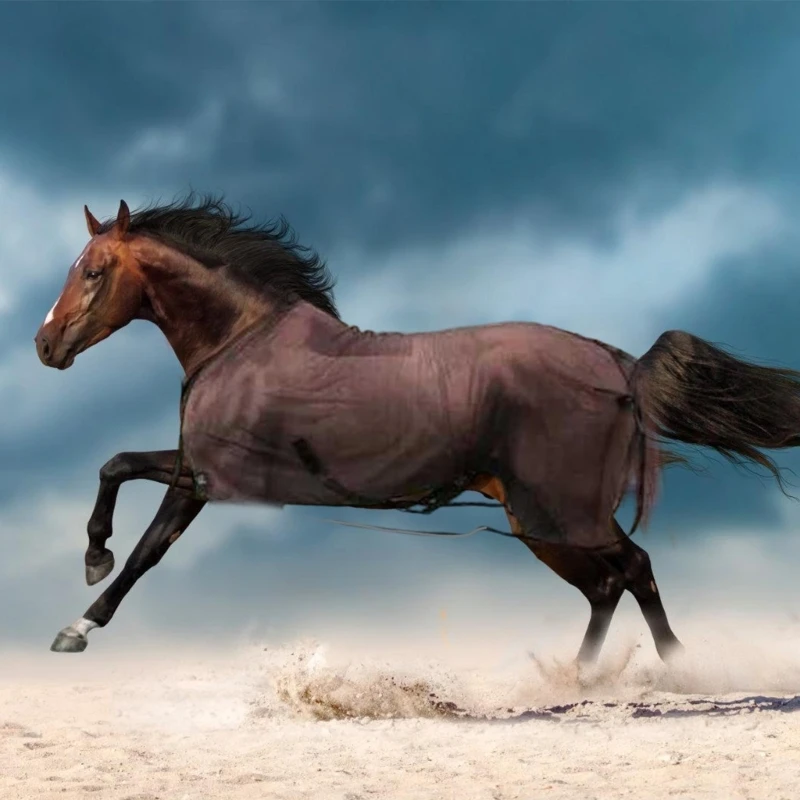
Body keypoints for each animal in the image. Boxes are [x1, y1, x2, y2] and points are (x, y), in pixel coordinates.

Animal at [34, 195, 800, 660]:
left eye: (94, 271)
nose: (45, 346)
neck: (242, 339)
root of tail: (618, 365)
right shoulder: (196, 465)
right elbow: (116, 464)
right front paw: (93, 554)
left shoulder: (205, 478)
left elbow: (145, 550)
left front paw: (78, 622)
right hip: (537, 522)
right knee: (608, 587)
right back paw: (587, 679)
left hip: (560, 513)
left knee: (632, 569)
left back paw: (671, 673)